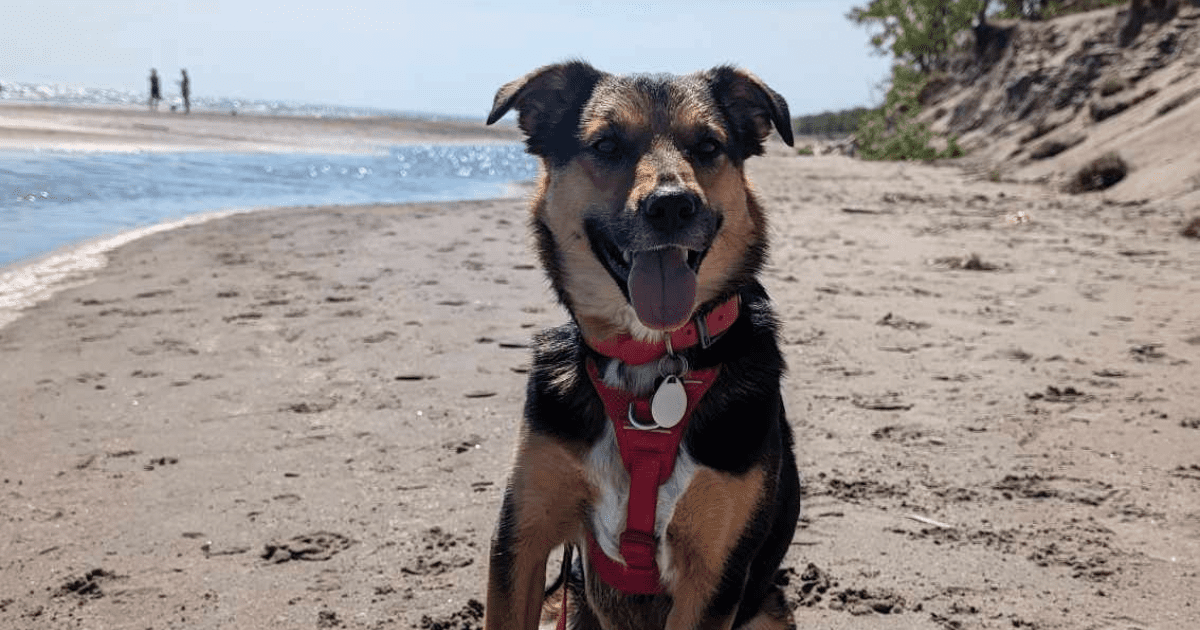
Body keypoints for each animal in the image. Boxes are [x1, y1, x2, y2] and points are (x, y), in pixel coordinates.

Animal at [482, 61, 801, 628]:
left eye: (708, 145)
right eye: (607, 145)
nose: (672, 206)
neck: (651, 357)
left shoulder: (714, 576)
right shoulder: (520, 536)